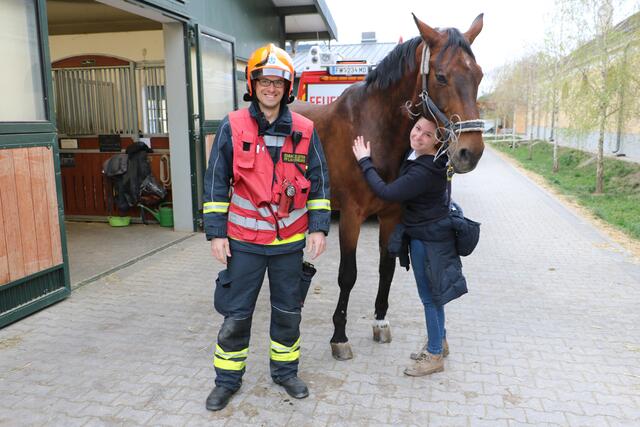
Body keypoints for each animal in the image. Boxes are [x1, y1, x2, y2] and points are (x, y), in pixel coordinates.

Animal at [291, 13, 485, 360]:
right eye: (441, 76)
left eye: (479, 75)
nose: (470, 152)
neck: (371, 129)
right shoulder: (351, 216)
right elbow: (348, 275)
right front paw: (339, 337)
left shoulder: (392, 215)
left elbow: (386, 268)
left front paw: (380, 322)